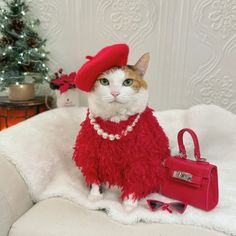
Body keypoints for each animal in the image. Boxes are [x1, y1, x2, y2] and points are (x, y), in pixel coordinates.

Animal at [73, 53, 171, 210]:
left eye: (128, 82)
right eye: (104, 81)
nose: (115, 93)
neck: (116, 121)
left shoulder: (139, 159)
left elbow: (135, 179)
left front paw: (129, 204)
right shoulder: (90, 152)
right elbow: (93, 175)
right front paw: (95, 195)